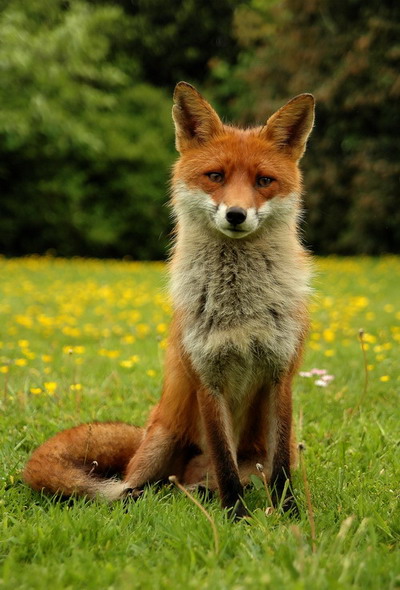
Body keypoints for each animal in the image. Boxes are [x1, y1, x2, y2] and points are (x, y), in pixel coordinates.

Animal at [23, 83, 314, 520]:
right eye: (215, 176)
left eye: (264, 180)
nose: (236, 214)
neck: (239, 308)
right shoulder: (207, 377)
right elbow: (224, 461)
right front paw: (237, 518)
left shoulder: (280, 376)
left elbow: (278, 467)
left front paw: (290, 517)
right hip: (158, 447)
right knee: (136, 486)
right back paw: (159, 498)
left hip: (257, 457)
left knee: (203, 482)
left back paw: (201, 494)